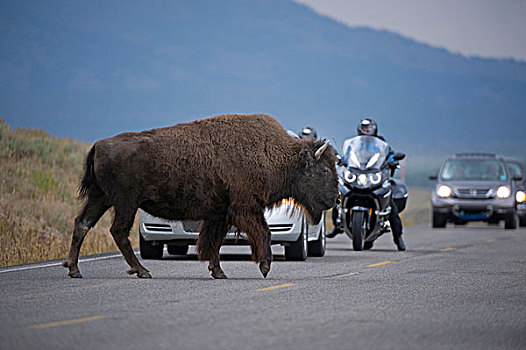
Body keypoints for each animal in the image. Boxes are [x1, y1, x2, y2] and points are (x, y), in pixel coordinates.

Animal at [63, 114, 338, 278]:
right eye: (324, 169)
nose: (336, 199)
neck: (276, 156)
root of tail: (99, 145)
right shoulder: (245, 209)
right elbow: (263, 233)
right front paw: (264, 267)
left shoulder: (221, 213)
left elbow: (212, 241)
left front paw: (218, 271)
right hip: (125, 203)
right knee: (118, 231)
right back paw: (142, 270)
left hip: (101, 198)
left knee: (83, 224)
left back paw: (74, 269)